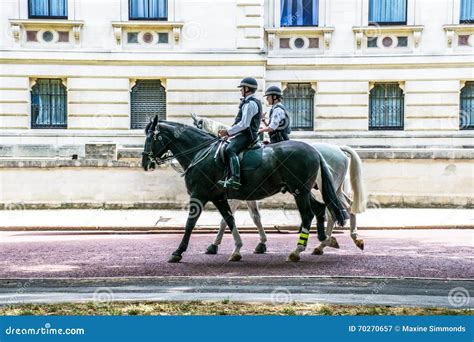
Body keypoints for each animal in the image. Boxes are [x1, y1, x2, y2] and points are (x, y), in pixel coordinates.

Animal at [141, 116, 344, 264]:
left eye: (150, 137)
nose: (145, 163)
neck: (200, 153)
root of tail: (314, 150)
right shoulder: (219, 197)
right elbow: (230, 220)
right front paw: (237, 249)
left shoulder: (200, 196)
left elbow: (191, 223)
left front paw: (178, 251)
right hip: (302, 191)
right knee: (320, 208)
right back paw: (323, 240)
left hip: (300, 191)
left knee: (309, 214)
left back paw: (298, 250)